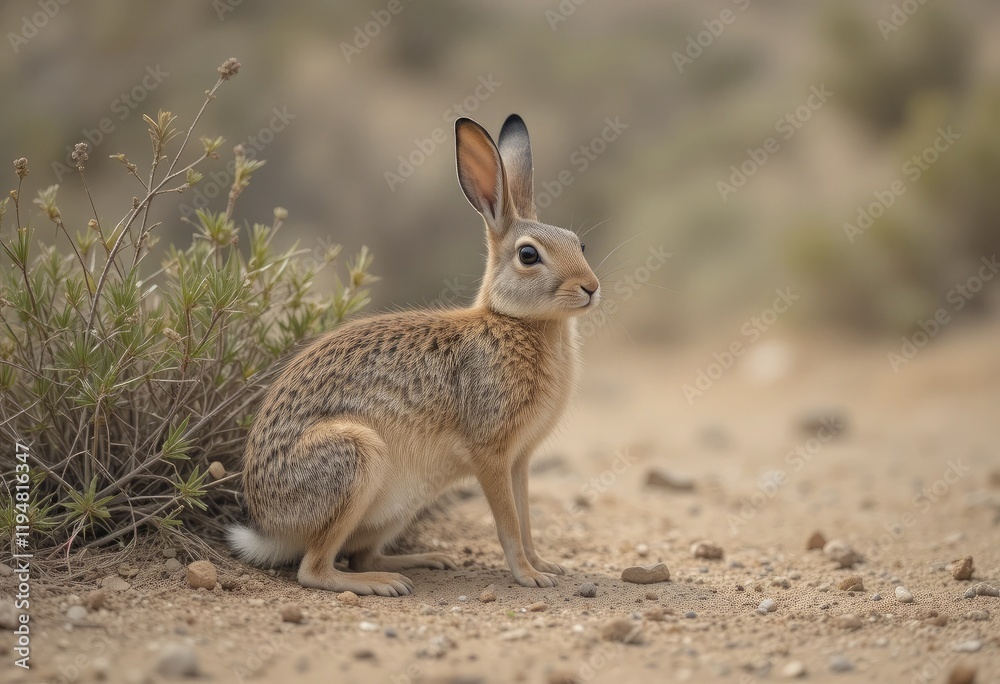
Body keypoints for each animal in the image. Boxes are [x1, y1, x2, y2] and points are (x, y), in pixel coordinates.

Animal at [228, 114, 601, 596]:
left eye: (579, 244)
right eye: (528, 255)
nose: (591, 287)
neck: (514, 321)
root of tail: (268, 526)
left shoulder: (520, 460)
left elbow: (526, 519)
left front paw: (545, 565)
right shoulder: (491, 453)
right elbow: (508, 522)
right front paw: (529, 576)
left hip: (403, 502)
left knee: (361, 552)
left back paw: (424, 560)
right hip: (357, 458)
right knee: (314, 568)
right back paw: (382, 583)